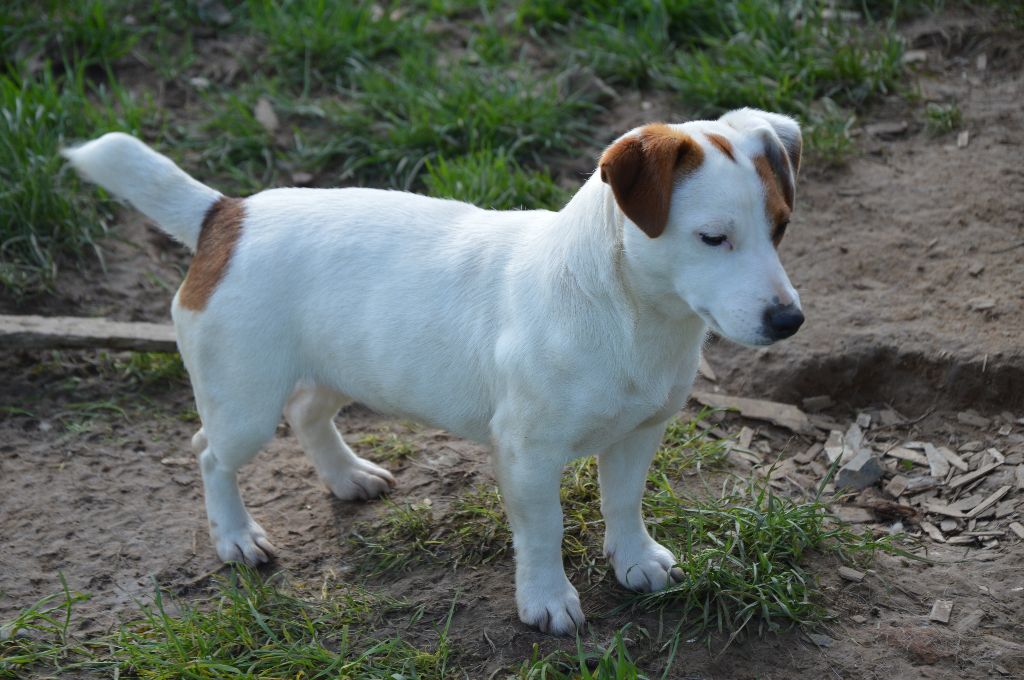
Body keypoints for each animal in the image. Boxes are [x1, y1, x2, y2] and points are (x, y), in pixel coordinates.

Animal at [64, 109, 802, 634]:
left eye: (780, 228)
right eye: (712, 238)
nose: (788, 321)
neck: (633, 314)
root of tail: (226, 216)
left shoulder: (640, 432)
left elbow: (623, 502)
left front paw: (635, 560)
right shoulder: (528, 455)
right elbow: (544, 531)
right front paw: (546, 599)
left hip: (339, 368)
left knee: (306, 415)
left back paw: (347, 476)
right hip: (244, 402)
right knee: (210, 454)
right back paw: (237, 537)